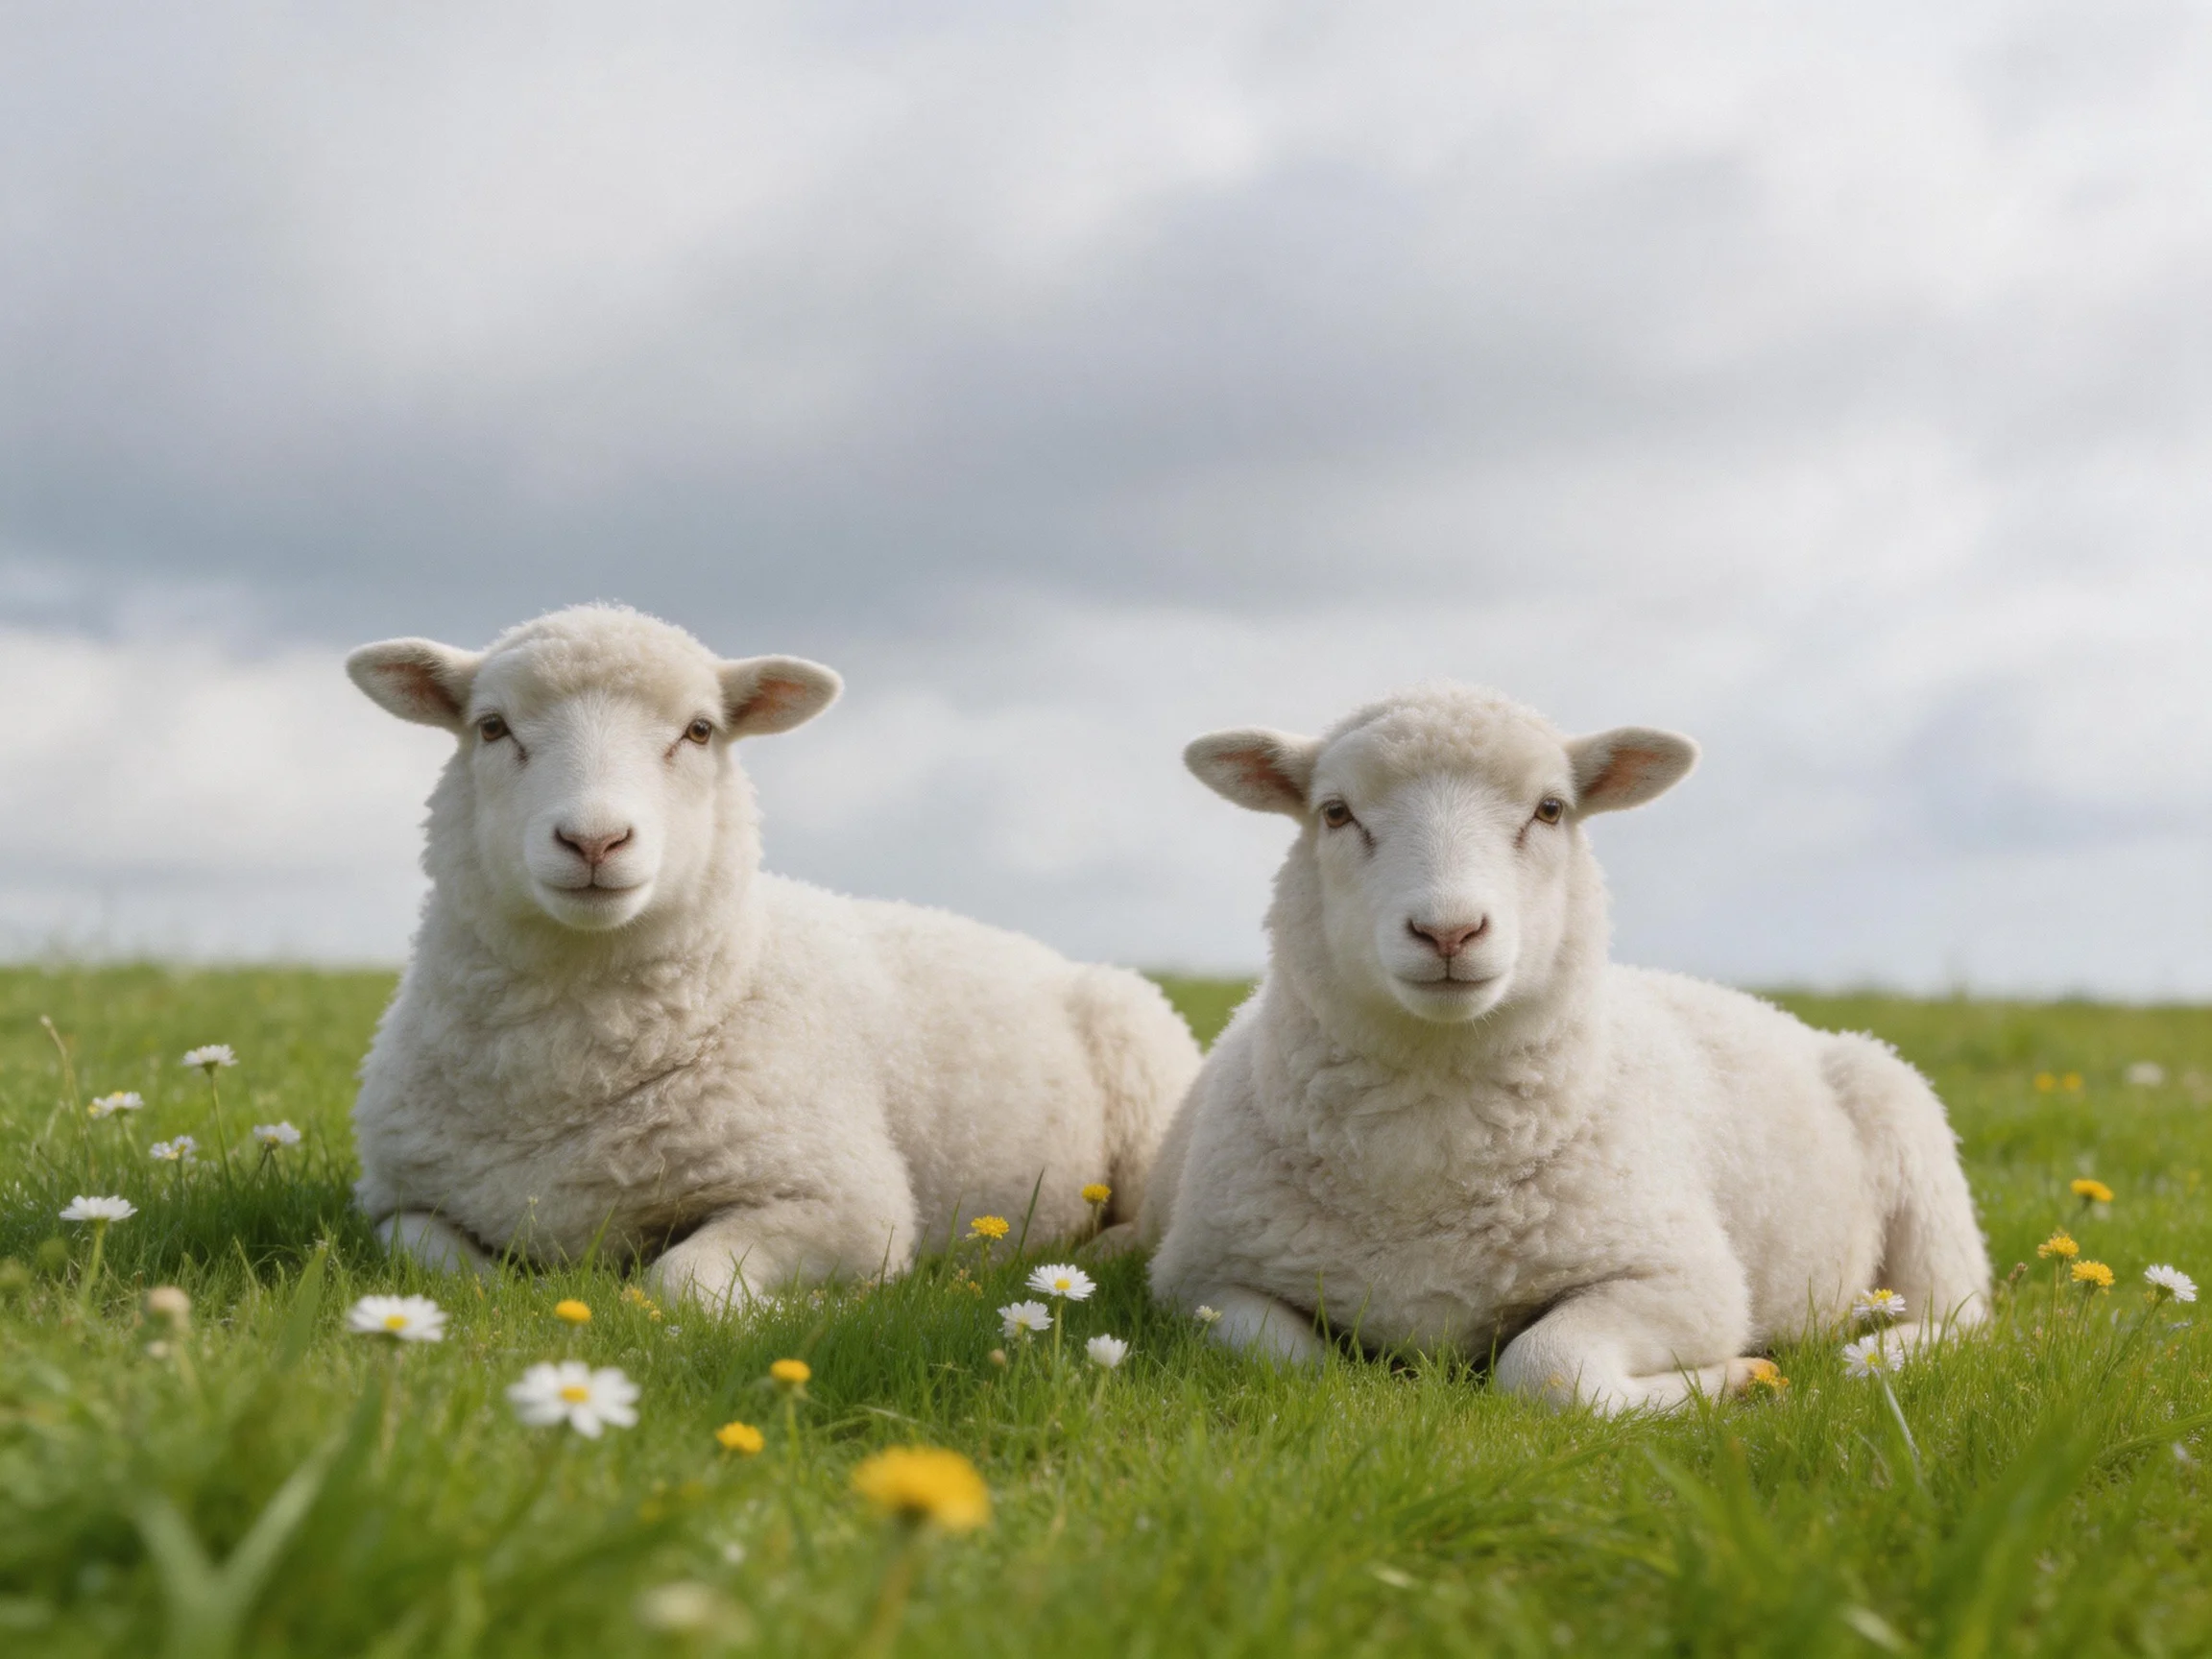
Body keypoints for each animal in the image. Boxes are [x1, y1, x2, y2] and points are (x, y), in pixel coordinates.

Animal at [346, 604, 1199, 1306]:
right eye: (492, 727)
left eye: (699, 731)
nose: (594, 840)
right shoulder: (395, 1200)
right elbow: (441, 1270)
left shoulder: (847, 1202)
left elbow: (679, 1283)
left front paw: (815, 1310)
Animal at [1144, 683, 1990, 1412]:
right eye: (1335, 812)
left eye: (1550, 810)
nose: (1448, 931)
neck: (1425, 1147)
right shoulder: (1198, 1281)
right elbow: (1301, 1366)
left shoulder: (1685, 1282)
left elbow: (1546, 1369)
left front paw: (1737, 1376)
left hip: (1917, 1154)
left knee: (1961, 1317)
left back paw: (1868, 1353)